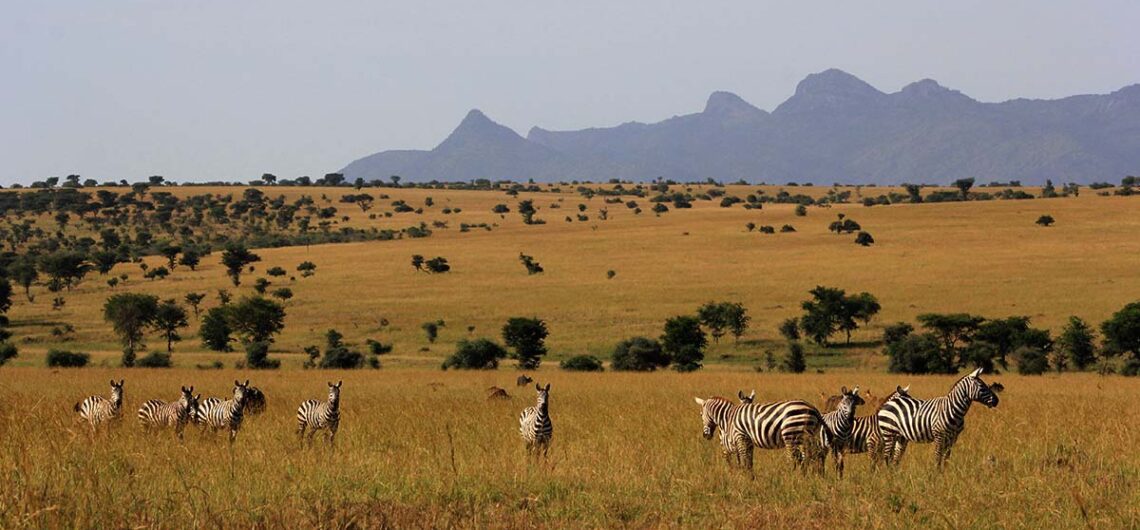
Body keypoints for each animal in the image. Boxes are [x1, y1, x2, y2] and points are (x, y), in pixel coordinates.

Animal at [875, 367, 1003, 467]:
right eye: (982, 386)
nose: (997, 401)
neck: (953, 409)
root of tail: (889, 402)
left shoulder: (953, 437)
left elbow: (946, 457)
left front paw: (944, 473)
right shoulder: (939, 436)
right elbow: (937, 456)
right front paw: (935, 475)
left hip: (900, 436)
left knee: (895, 458)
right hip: (888, 433)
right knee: (887, 456)